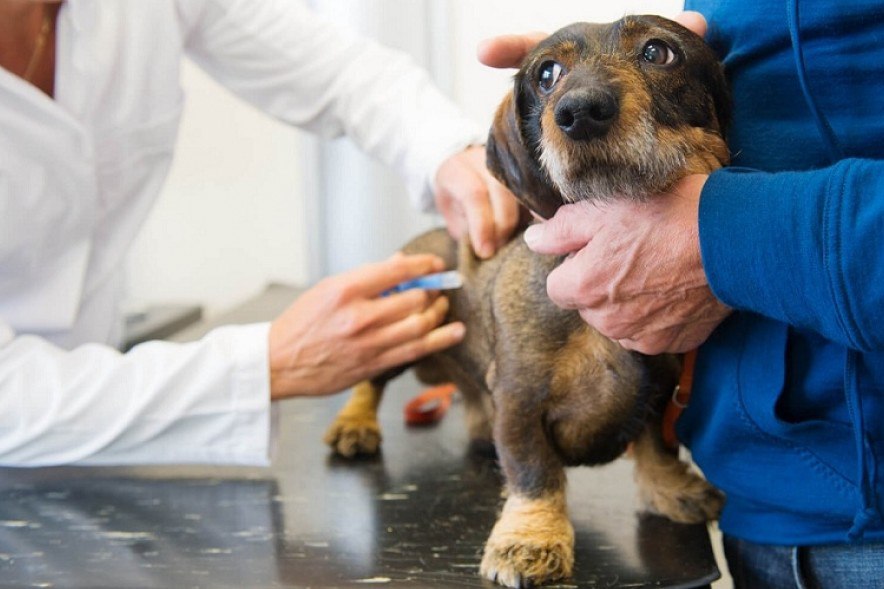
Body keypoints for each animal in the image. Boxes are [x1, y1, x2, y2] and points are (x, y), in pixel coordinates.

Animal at [324, 14, 732, 588]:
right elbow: (535, 472)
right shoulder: (520, 399)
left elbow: (656, 444)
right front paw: (531, 539)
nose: (580, 112)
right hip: (408, 321)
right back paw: (355, 424)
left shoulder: (661, 390)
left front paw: (670, 488)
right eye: (547, 73)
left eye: (658, 52)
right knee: (372, 379)